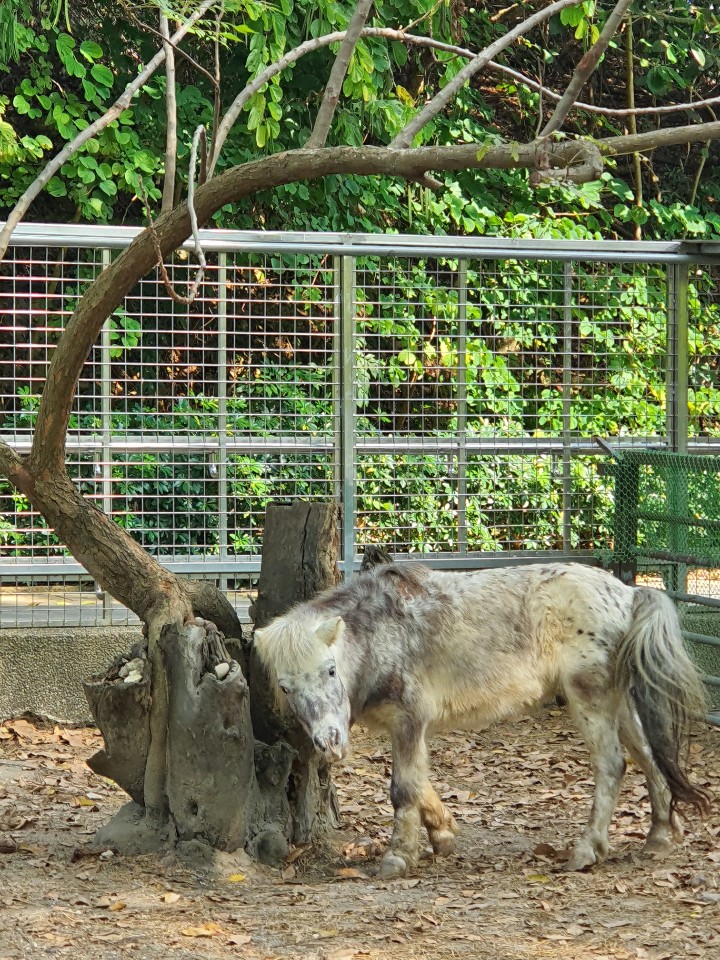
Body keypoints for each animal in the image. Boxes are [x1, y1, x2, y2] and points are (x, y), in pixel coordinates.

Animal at [253, 561, 711, 878]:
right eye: (286, 688)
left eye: (330, 670)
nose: (329, 742)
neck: (383, 634)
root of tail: (628, 594)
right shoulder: (406, 730)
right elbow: (421, 783)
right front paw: (443, 834)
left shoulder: (409, 721)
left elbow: (403, 789)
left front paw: (398, 858)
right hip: (619, 703)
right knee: (649, 756)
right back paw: (660, 837)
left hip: (591, 700)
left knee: (613, 764)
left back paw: (587, 850)